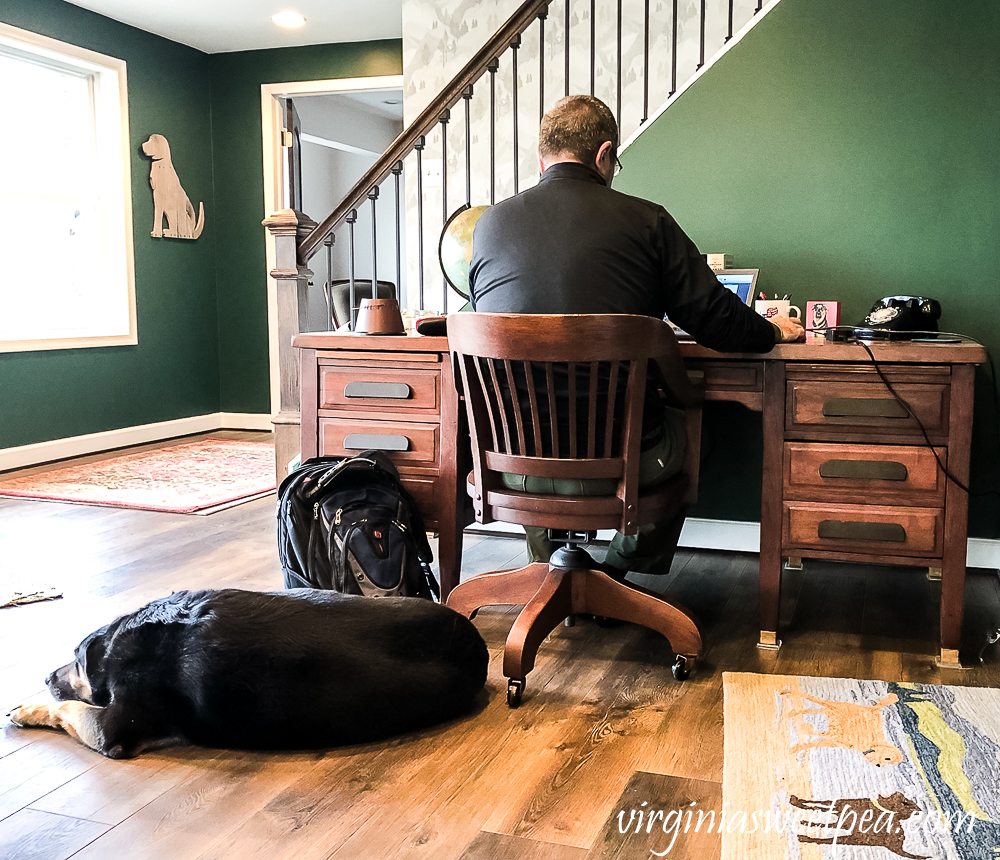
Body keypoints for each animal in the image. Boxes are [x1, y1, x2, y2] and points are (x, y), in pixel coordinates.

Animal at [5, 588, 490, 756]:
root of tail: (478, 649)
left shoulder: (111, 729)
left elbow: (67, 710)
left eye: (75, 658)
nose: (46, 676)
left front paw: (26, 707)